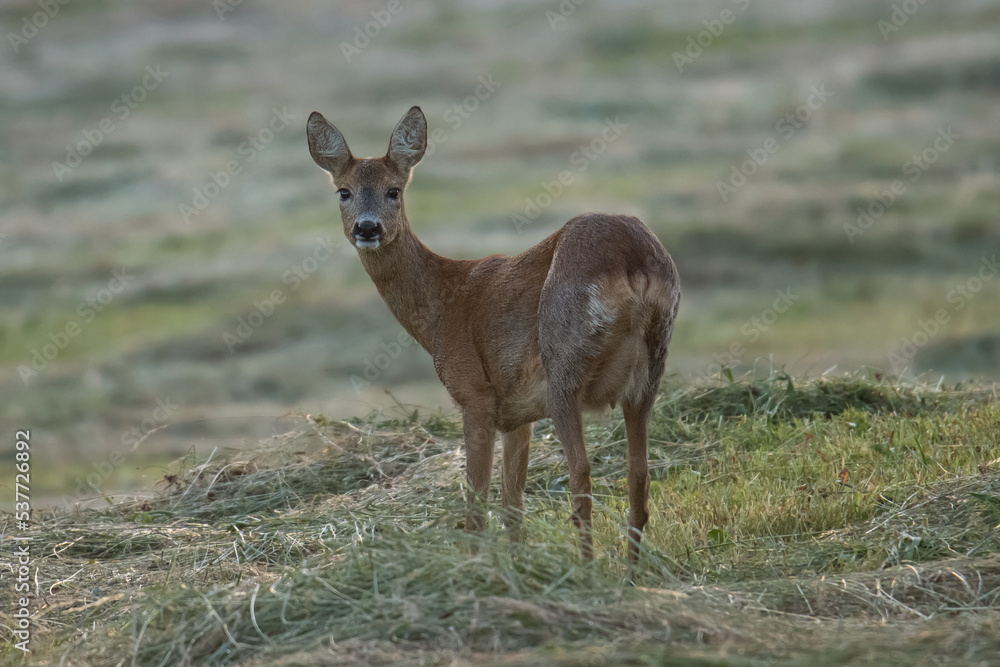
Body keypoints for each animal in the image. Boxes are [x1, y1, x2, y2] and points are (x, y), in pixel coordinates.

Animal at [306, 106, 680, 561]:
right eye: (343, 191)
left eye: (394, 190)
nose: (367, 228)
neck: (441, 308)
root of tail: (632, 257)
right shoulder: (517, 415)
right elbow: (512, 507)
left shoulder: (476, 395)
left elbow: (477, 508)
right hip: (651, 365)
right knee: (639, 476)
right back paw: (631, 571)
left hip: (564, 363)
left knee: (581, 472)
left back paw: (587, 569)